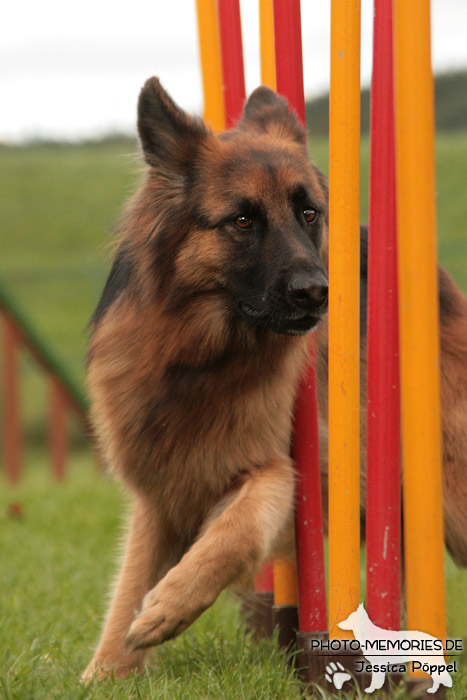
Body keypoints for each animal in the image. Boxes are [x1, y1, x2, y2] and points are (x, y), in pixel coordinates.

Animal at [84, 79, 467, 680]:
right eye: (242, 221)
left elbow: (235, 532)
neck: (201, 360)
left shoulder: (290, 471)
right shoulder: (162, 487)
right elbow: (126, 591)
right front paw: (105, 673)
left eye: (309, 214)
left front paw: (168, 607)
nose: (317, 292)